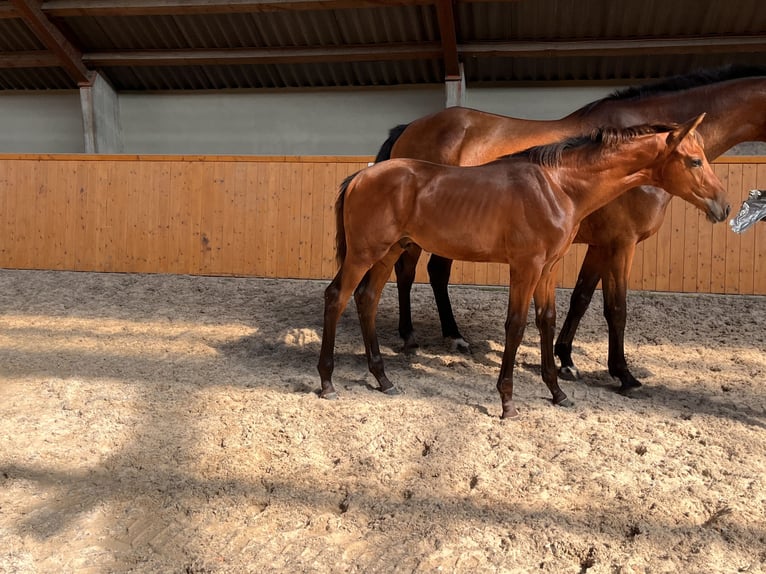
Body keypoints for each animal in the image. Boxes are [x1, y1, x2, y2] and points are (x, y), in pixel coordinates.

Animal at [320, 115, 732, 420]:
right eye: (694, 160)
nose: (724, 206)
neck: (557, 186)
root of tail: (359, 176)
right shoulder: (526, 267)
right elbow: (516, 326)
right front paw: (507, 402)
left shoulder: (547, 269)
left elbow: (546, 320)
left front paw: (558, 390)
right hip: (364, 253)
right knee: (337, 297)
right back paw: (327, 381)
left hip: (388, 252)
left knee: (367, 299)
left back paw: (383, 378)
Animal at [380, 65, 766, 394]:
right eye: (694, 161)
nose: (725, 207)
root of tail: (409, 128)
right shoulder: (622, 243)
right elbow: (617, 308)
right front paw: (623, 374)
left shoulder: (600, 245)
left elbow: (581, 298)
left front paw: (565, 359)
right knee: (407, 272)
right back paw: (410, 337)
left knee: (436, 272)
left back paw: (454, 336)